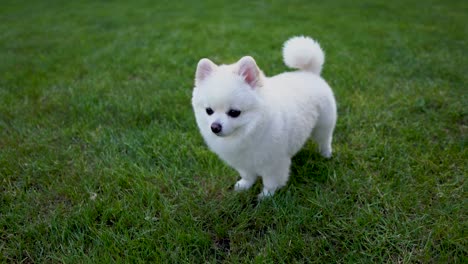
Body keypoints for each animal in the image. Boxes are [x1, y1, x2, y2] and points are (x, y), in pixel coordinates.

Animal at [191, 36, 336, 198]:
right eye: (209, 111)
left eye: (234, 112)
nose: (215, 127)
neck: (250, 130)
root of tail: (309, 73)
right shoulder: (243, 162)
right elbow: (248, 175)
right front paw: (244, 185)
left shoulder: (274, 164)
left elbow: (270, 182)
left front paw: (266, 197)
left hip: (323, 124)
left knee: (325, 139)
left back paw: (325, 154)